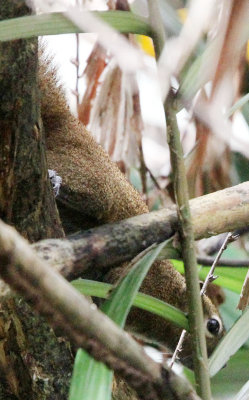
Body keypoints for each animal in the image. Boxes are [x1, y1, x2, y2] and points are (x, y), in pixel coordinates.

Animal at [39, 53, 224, 368]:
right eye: (213, 325)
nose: (210, 361)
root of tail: (65, 120)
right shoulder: (141, 283)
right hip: (90, 177)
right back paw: (55, 183)